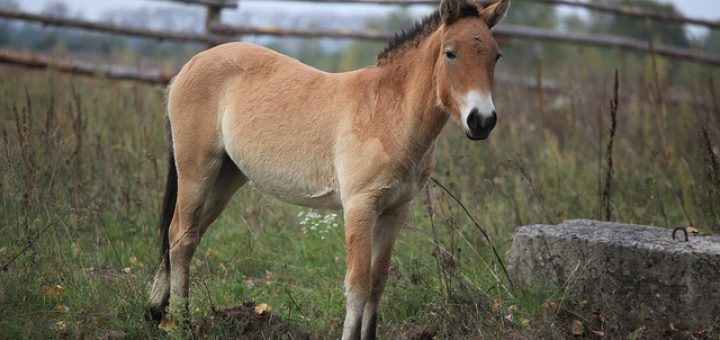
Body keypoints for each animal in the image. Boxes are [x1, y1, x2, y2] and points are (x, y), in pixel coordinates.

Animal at [145, 0, 506, 338]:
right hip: (197, 171)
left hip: (226, 179)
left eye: (496, 56)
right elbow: (358, 284)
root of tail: (190, 64)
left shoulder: (395, 211)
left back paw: (155, 312)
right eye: (450, 53)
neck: (388, 113)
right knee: (180, 237)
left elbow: (378, 282)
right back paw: (181, 324)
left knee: (187, 236)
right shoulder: (360, 207)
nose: (482, 121)